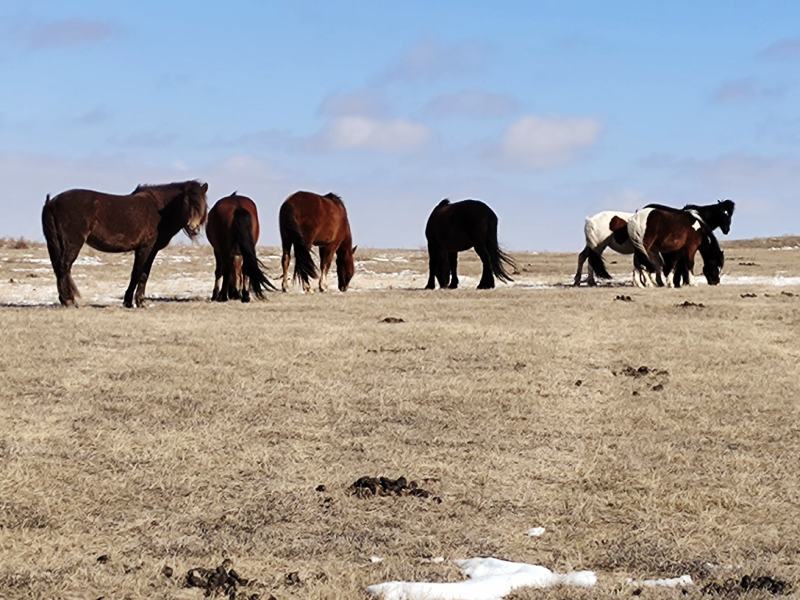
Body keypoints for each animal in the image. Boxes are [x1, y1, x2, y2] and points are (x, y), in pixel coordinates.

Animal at [41, 180, 208, 307]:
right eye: (186, 202)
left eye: (202, 202)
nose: (193, 227)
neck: (158, 209)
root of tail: (51, 202)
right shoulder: (144, 248)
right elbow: (136, 273)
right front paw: (129, 301)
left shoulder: (152, 250)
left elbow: (144, 274)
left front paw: (140, 301)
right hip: (73, 242)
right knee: (64, 267)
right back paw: (69, 301)